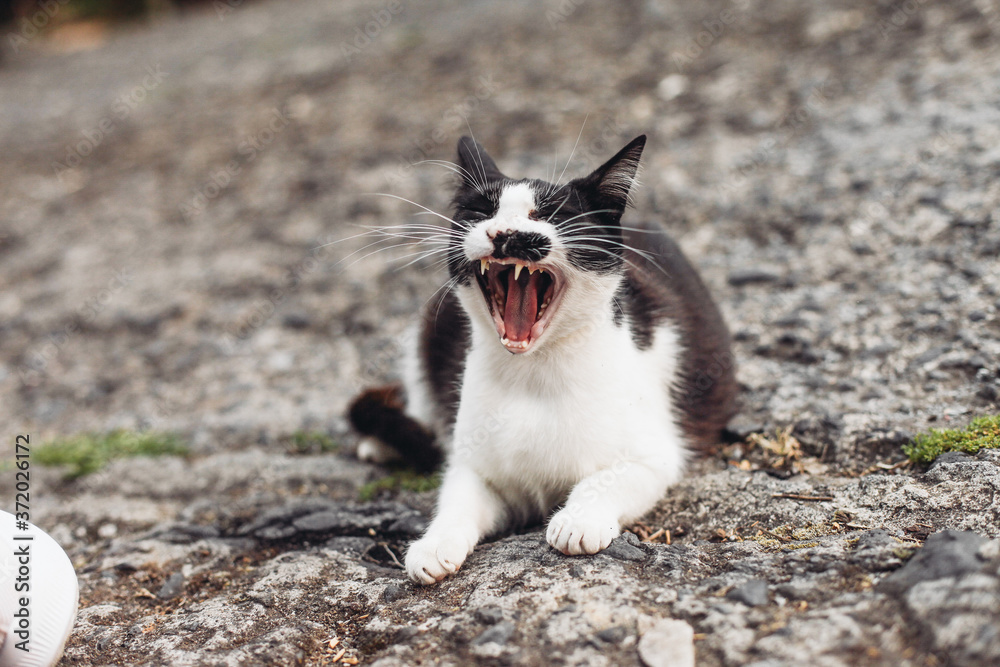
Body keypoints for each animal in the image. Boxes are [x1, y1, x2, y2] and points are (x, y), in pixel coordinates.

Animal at [350, 136, 736, 584]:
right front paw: (434, 544)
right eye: (482, 212)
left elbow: (608, 478)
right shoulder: (476, 463)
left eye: (551, 215)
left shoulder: (655, 455)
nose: (503, 233)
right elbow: (458, 497)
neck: (533, 373)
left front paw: (578, 519)